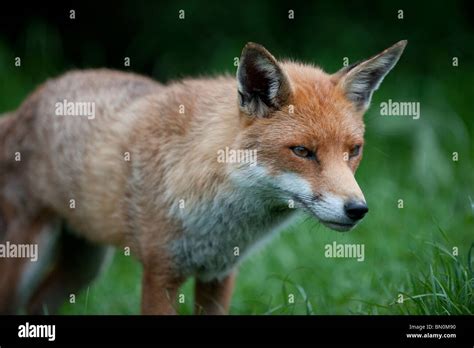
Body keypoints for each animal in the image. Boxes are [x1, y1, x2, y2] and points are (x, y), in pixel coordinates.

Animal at [0, 41, 408, 316]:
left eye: (353, 151)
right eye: (302, 151)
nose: (357, 209)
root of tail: (23, 106)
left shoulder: (218, 275)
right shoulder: (160, 273)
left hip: (84, 266)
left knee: (37, 305)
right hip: (26, 259)